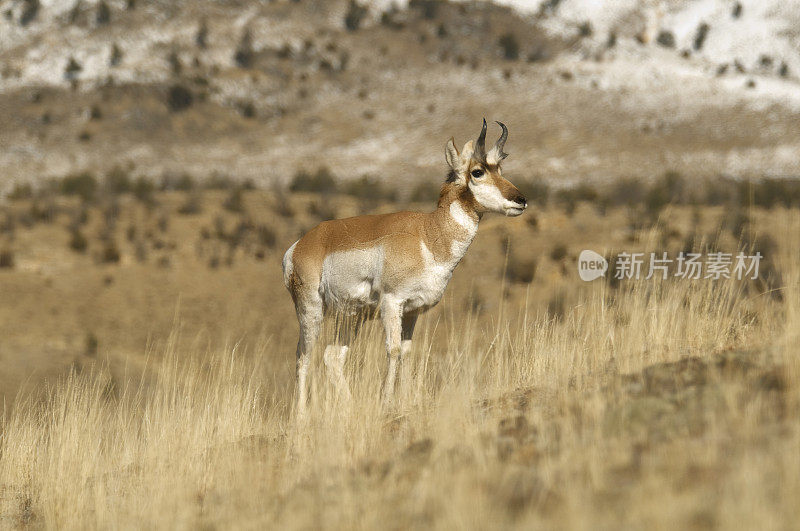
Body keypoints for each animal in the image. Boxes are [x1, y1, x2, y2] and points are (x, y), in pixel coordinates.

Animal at [282, 120, 524, 416]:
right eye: (477, 172)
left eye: (500, 169)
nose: (521, 199)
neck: (427, 234)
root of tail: (302, 244)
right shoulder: (391, 303)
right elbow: (394, 351)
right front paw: (386, 403)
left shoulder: (412, 311)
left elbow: (408, 352)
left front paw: (407, 401)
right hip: (311, 311)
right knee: (303, 356)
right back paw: (301, 417)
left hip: (351, 317)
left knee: (332, 357)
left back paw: (350, 408)